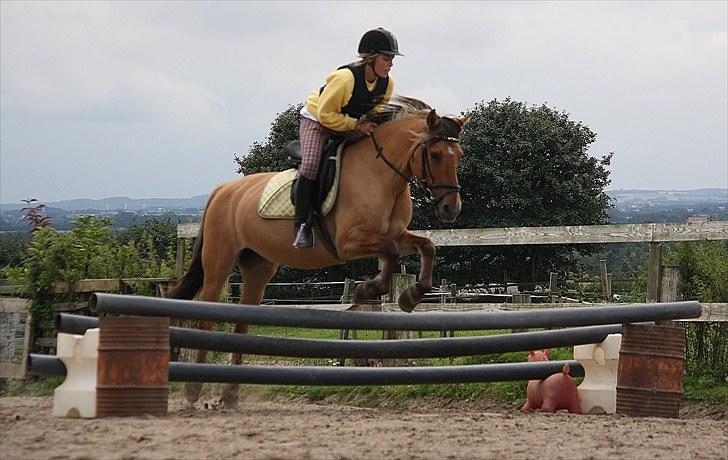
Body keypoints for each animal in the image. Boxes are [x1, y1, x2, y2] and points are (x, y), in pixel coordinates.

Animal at [168, 95, 470, 404]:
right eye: (436, 155)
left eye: (458, 155)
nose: (451, 208)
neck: (381, 175)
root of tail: (223, 190)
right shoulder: (348, 242)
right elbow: (390, 251)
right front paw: (368, 289)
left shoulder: (397, 234)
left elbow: (427, 246)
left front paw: (411, 296)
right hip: (219, 263)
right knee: (206, 317)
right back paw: (193, 390)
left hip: (258, 267)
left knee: (242, 324)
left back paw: (229, 394)